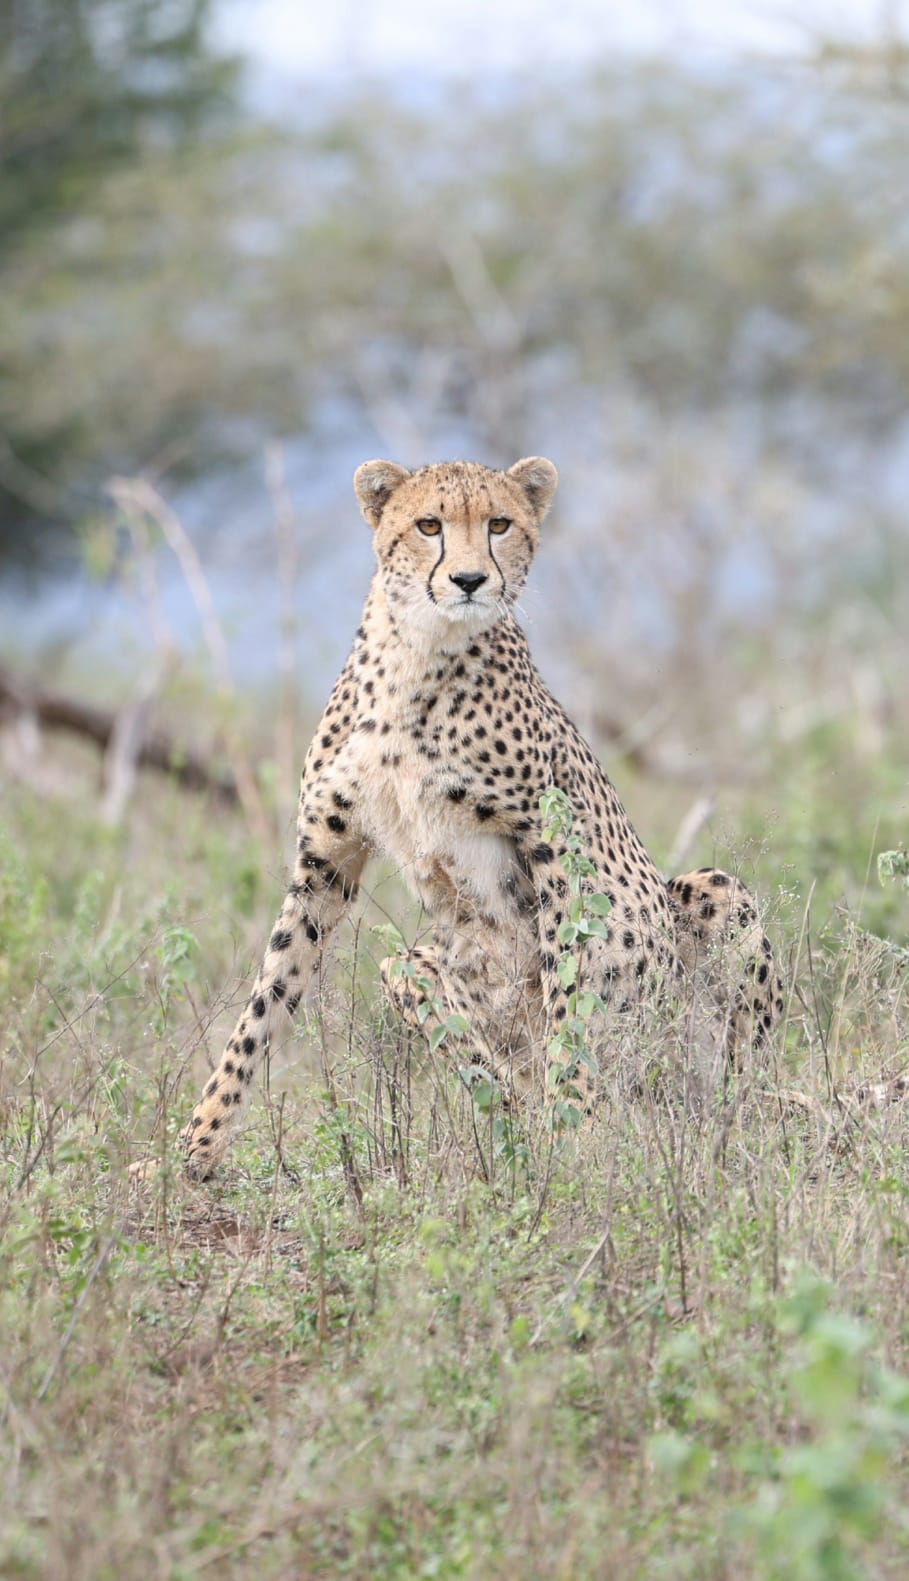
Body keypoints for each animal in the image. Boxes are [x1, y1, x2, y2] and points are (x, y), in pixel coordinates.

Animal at [181, 455, 783, 1177]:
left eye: (498, 524)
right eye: (428, 525)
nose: (468, 579)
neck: (417, 653)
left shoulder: (553, 844)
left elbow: (570, 995)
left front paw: (575, 1137)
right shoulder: (325, 865)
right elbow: (263, 1003)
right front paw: (193, 1150)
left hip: (714, 911)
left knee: (742, 1085)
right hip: (418, 968)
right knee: (423, 989)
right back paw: (513, 1118)